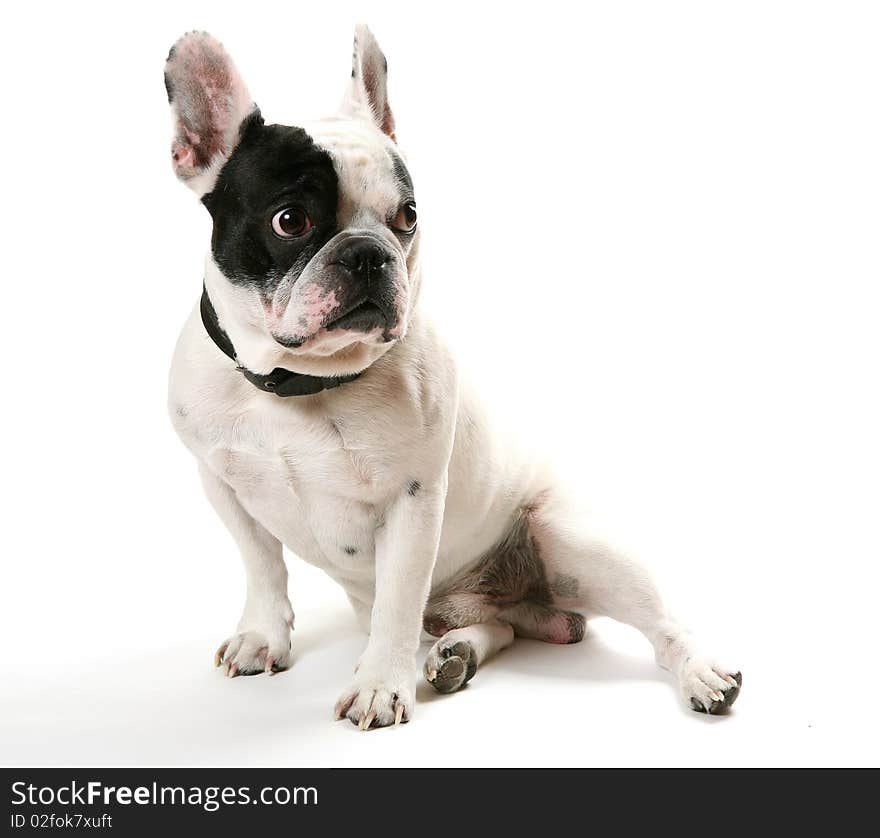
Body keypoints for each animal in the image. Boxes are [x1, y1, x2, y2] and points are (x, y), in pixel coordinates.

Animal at [162, 24, 740, 728]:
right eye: (290, 220)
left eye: (408, 216)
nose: (369, 253)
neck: (302, 381)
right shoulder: (221, 482)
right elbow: (262, 567)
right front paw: (262, 636)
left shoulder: (412, 501)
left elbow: (397, 602)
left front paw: (380, 686)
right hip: (480, 603)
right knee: (496, 627)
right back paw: (457, 654)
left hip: (572, 542)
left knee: (662, 626)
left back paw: (702, 673)